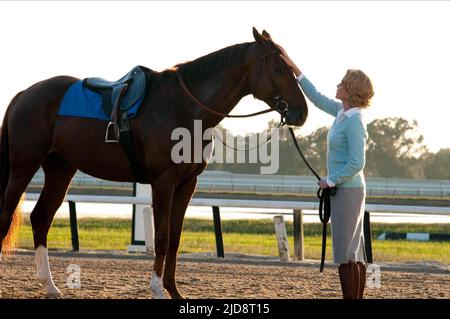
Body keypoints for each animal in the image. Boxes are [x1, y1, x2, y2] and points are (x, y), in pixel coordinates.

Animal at [0, 28, 308, 298]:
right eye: (279, 68)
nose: (302, 112)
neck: (184, 108)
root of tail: (25, 93)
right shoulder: (164, 182)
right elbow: (161, 237)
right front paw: (158, 288)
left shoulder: (187, 184)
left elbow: (174, 238)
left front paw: (173, 290)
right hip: (23, 167)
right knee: (7, 215)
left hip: (60, 170)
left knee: (41, 219)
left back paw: (50, 286)